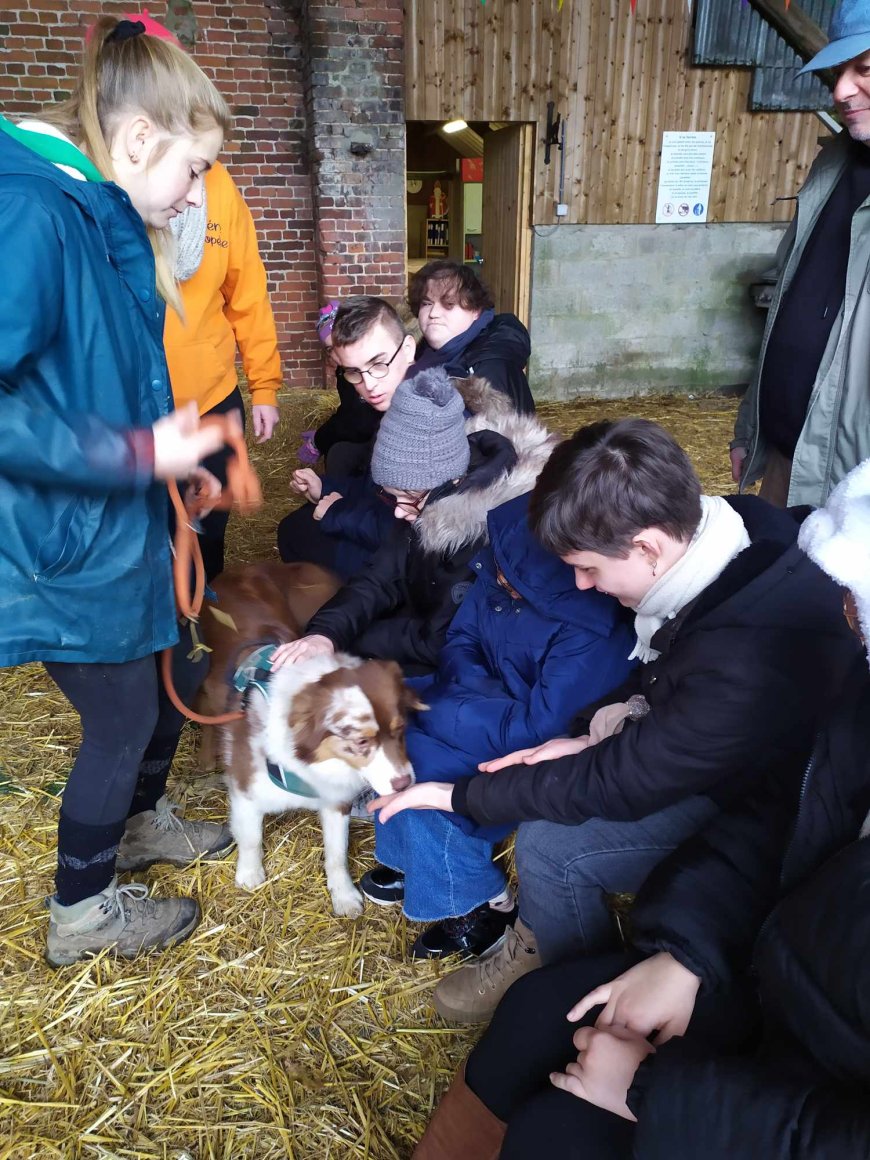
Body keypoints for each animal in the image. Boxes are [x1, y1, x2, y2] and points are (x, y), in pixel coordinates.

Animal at [201, 561, 426, 914]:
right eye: (361, 742)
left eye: (400, 730)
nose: (405, 784)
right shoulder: (245, 789)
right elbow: (250, 837)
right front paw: (249, 874)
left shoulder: (336, 801)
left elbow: (337, 853)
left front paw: (344, 895)